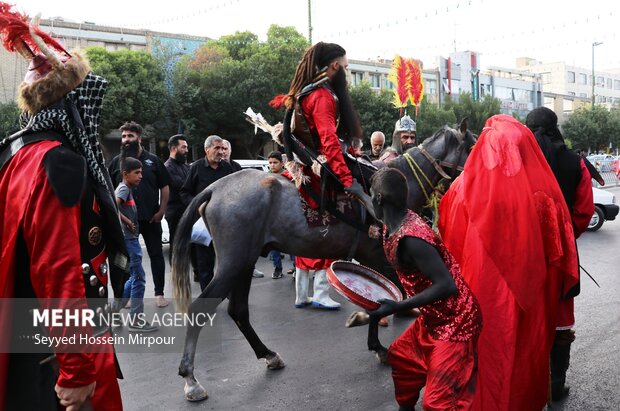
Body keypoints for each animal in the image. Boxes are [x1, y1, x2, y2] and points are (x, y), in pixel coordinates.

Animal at [170, 124, 474, 400]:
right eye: (472, 147)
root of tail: (215, 188)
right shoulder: (379, 256)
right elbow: (385, 297)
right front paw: (377, 338)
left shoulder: (374, 258)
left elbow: (380, 299)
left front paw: (375, 337)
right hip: (234, 263)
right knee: (201, 309)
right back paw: (191, 379)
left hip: (244, 261)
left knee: (238, 311)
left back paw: (268, 354)